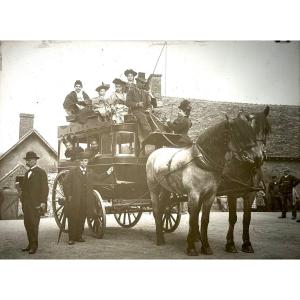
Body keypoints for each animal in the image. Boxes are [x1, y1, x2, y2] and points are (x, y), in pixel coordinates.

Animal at [146, 116, 260, 254]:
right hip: (153, 189)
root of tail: (155, 152)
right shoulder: (195, 194)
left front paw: (206, 246)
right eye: (238, 134)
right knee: (156, 210)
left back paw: (163, 235)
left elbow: (205, 220)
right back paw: (159, 238)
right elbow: (193, 218)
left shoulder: (211, 195)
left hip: (166, 189)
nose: (257, 158)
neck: (203, 163)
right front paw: (191, 247)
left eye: (252, 132)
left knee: (163, 209)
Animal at [220, 106, 272, 253]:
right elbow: (233, 217)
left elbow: (246, 219)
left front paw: (247, 243)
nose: (258, 157)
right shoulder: (231, 193)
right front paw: (230, 243)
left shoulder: (251, 193)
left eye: (266, 129)